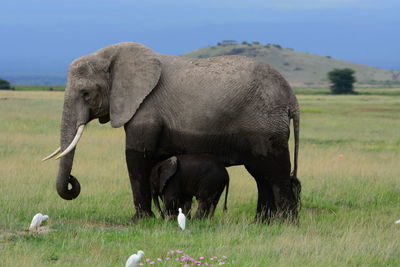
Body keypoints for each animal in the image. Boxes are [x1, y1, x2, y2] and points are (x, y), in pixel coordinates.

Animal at [43, 42, 300, 224]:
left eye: (85, 93)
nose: (72, 180)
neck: (111, 55)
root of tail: (291, 97)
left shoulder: (146, 108)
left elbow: (136, 157)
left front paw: (139, 221)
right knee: (260, 174)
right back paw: (262, 224)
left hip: (265, 123)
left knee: (275, 172)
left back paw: (286, 224)